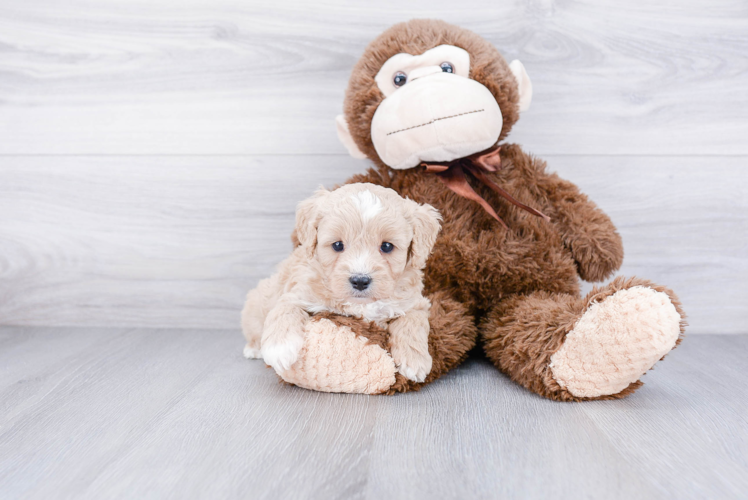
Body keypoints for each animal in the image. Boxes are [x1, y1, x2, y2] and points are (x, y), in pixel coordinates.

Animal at [240, 184, 442, 382]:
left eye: (386, 246)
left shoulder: (415, 303)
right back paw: (254, 349)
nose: (360, 281)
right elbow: (284, 309)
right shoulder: (297, 292)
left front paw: (415, 361)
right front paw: (279, 349)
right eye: (337, 245)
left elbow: (412, 322)